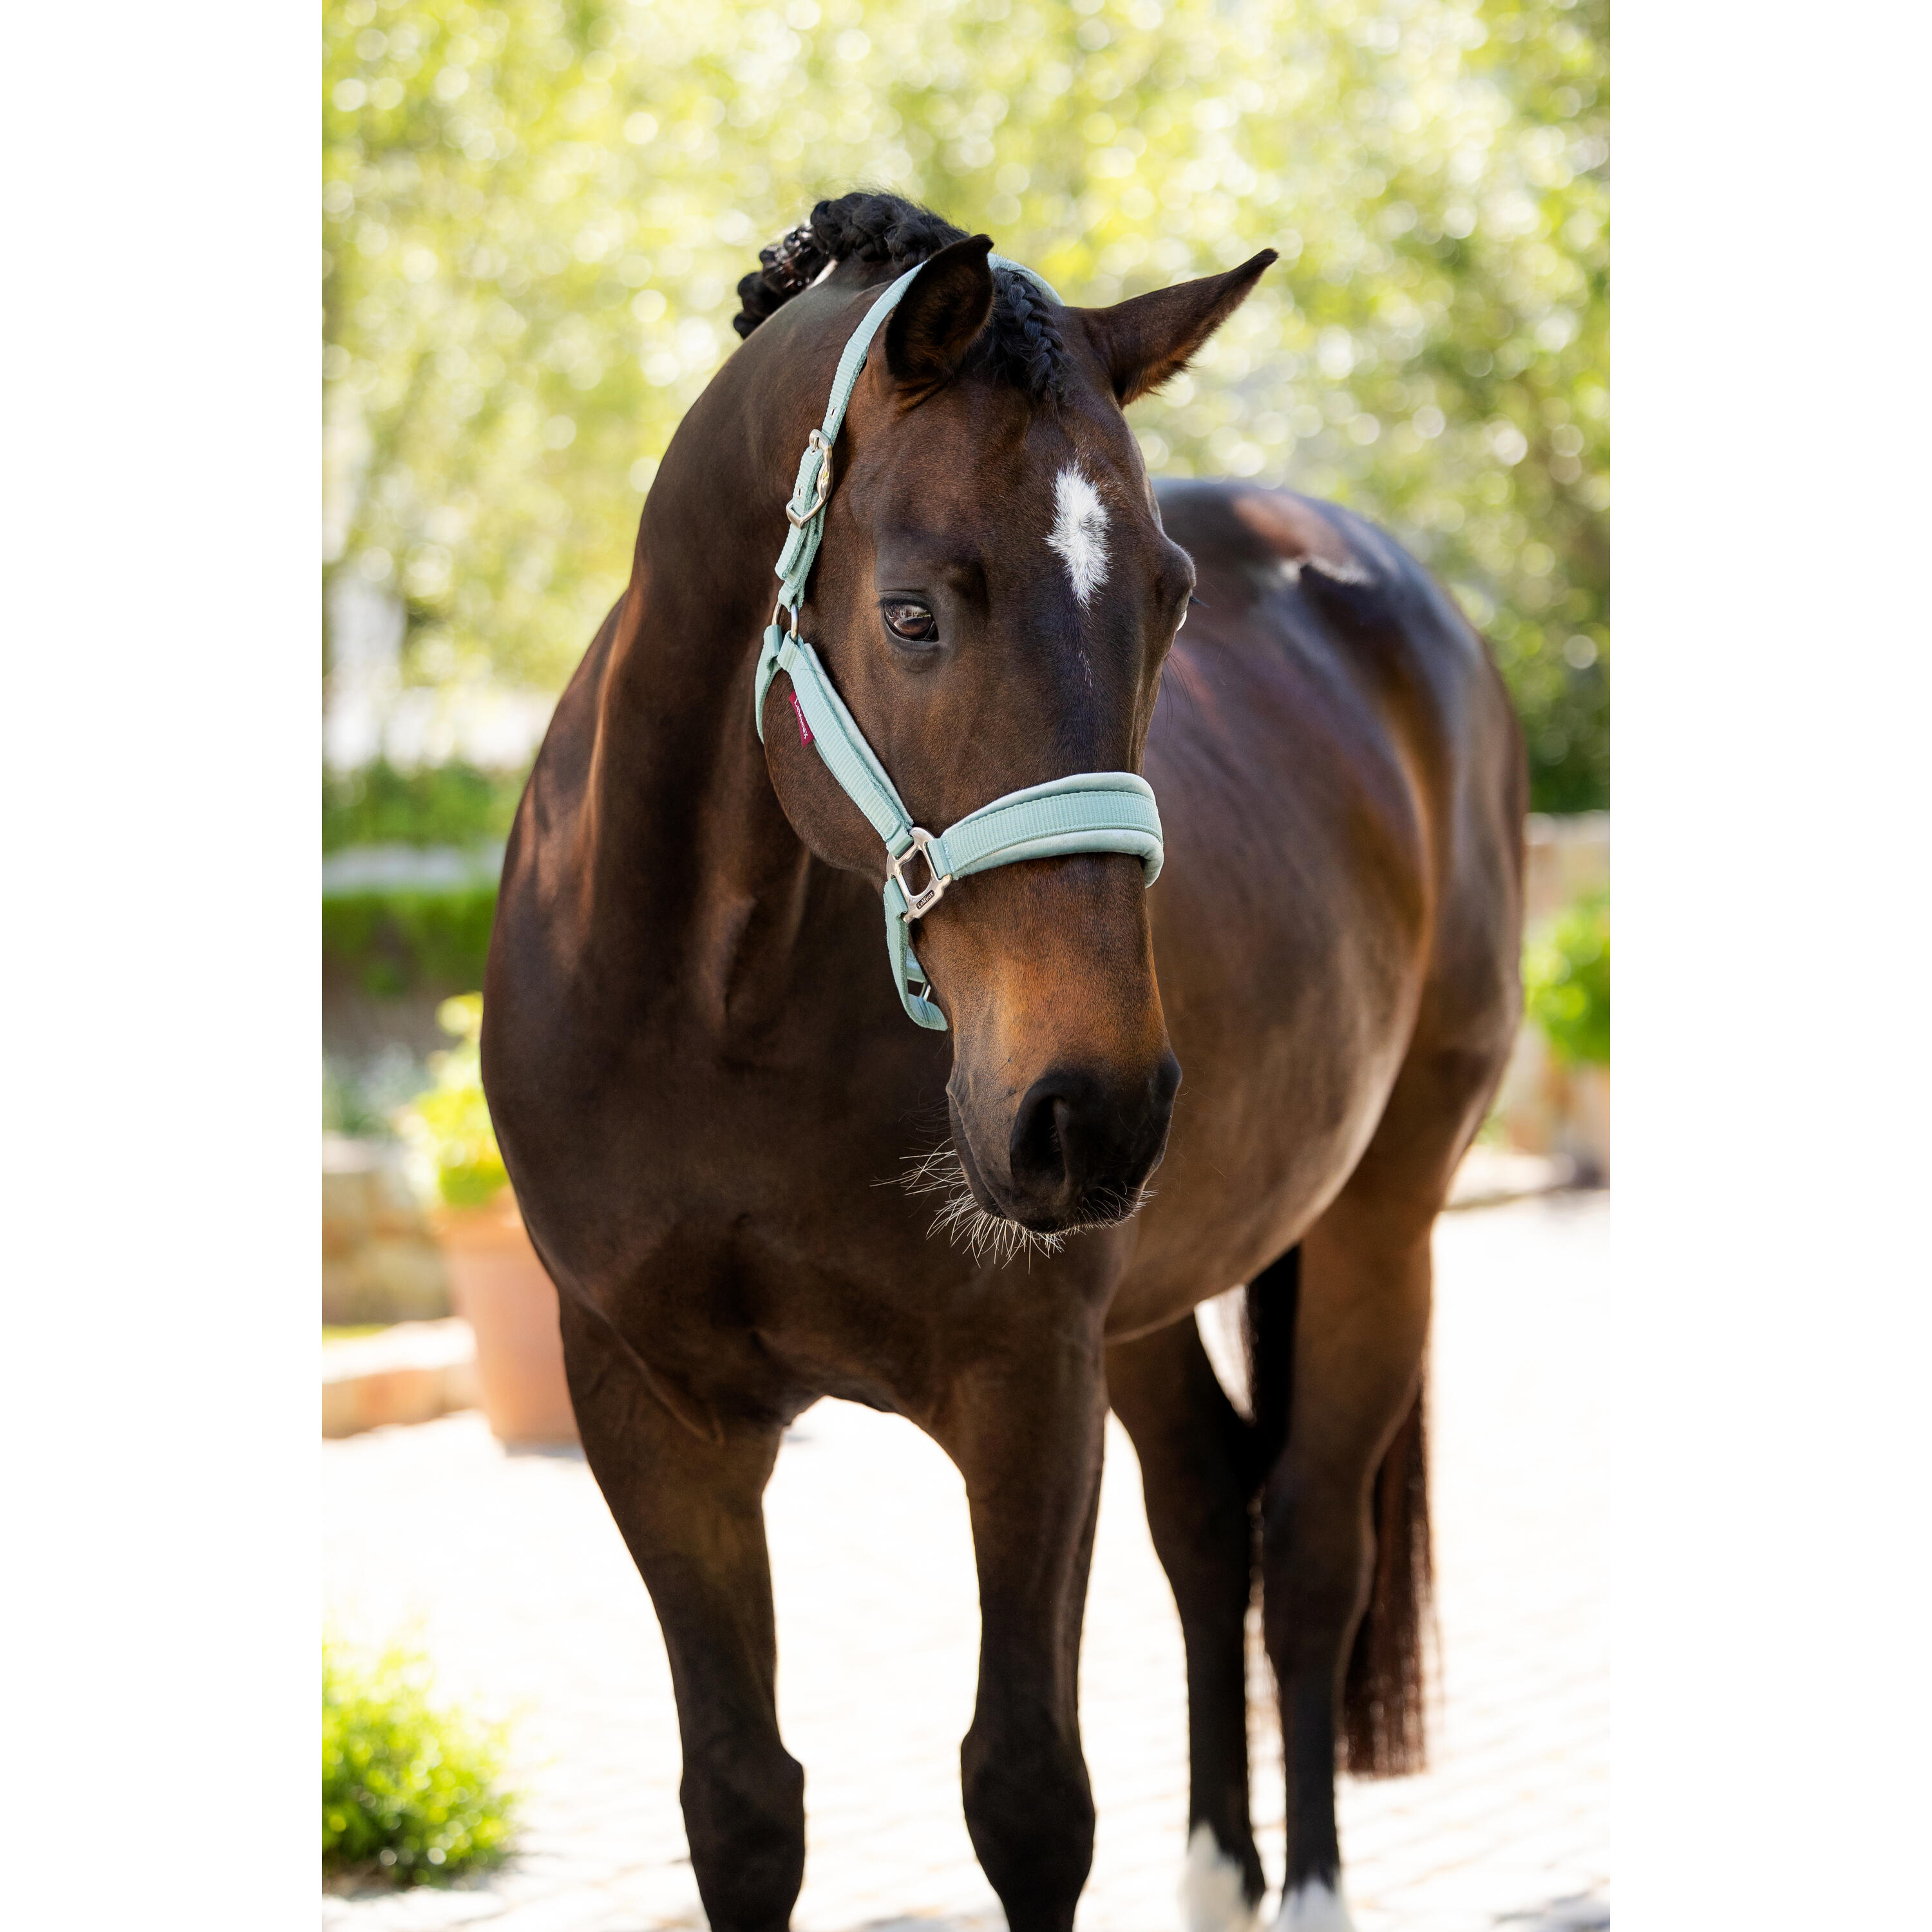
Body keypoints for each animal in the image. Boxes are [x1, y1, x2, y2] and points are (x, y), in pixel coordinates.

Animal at [482, 191, 1526, 1932]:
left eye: (1168, 599)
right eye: (912, 610)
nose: (1088, 1107)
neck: (713, 1004)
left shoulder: (1026, 1384)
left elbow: (1027, 1793)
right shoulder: (650, 1405)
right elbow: (741, 1804)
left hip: (1383, 1217)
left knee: (1312, 1541)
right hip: (1146, 1293)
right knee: (1212, 1518)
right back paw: (1218, 1873)